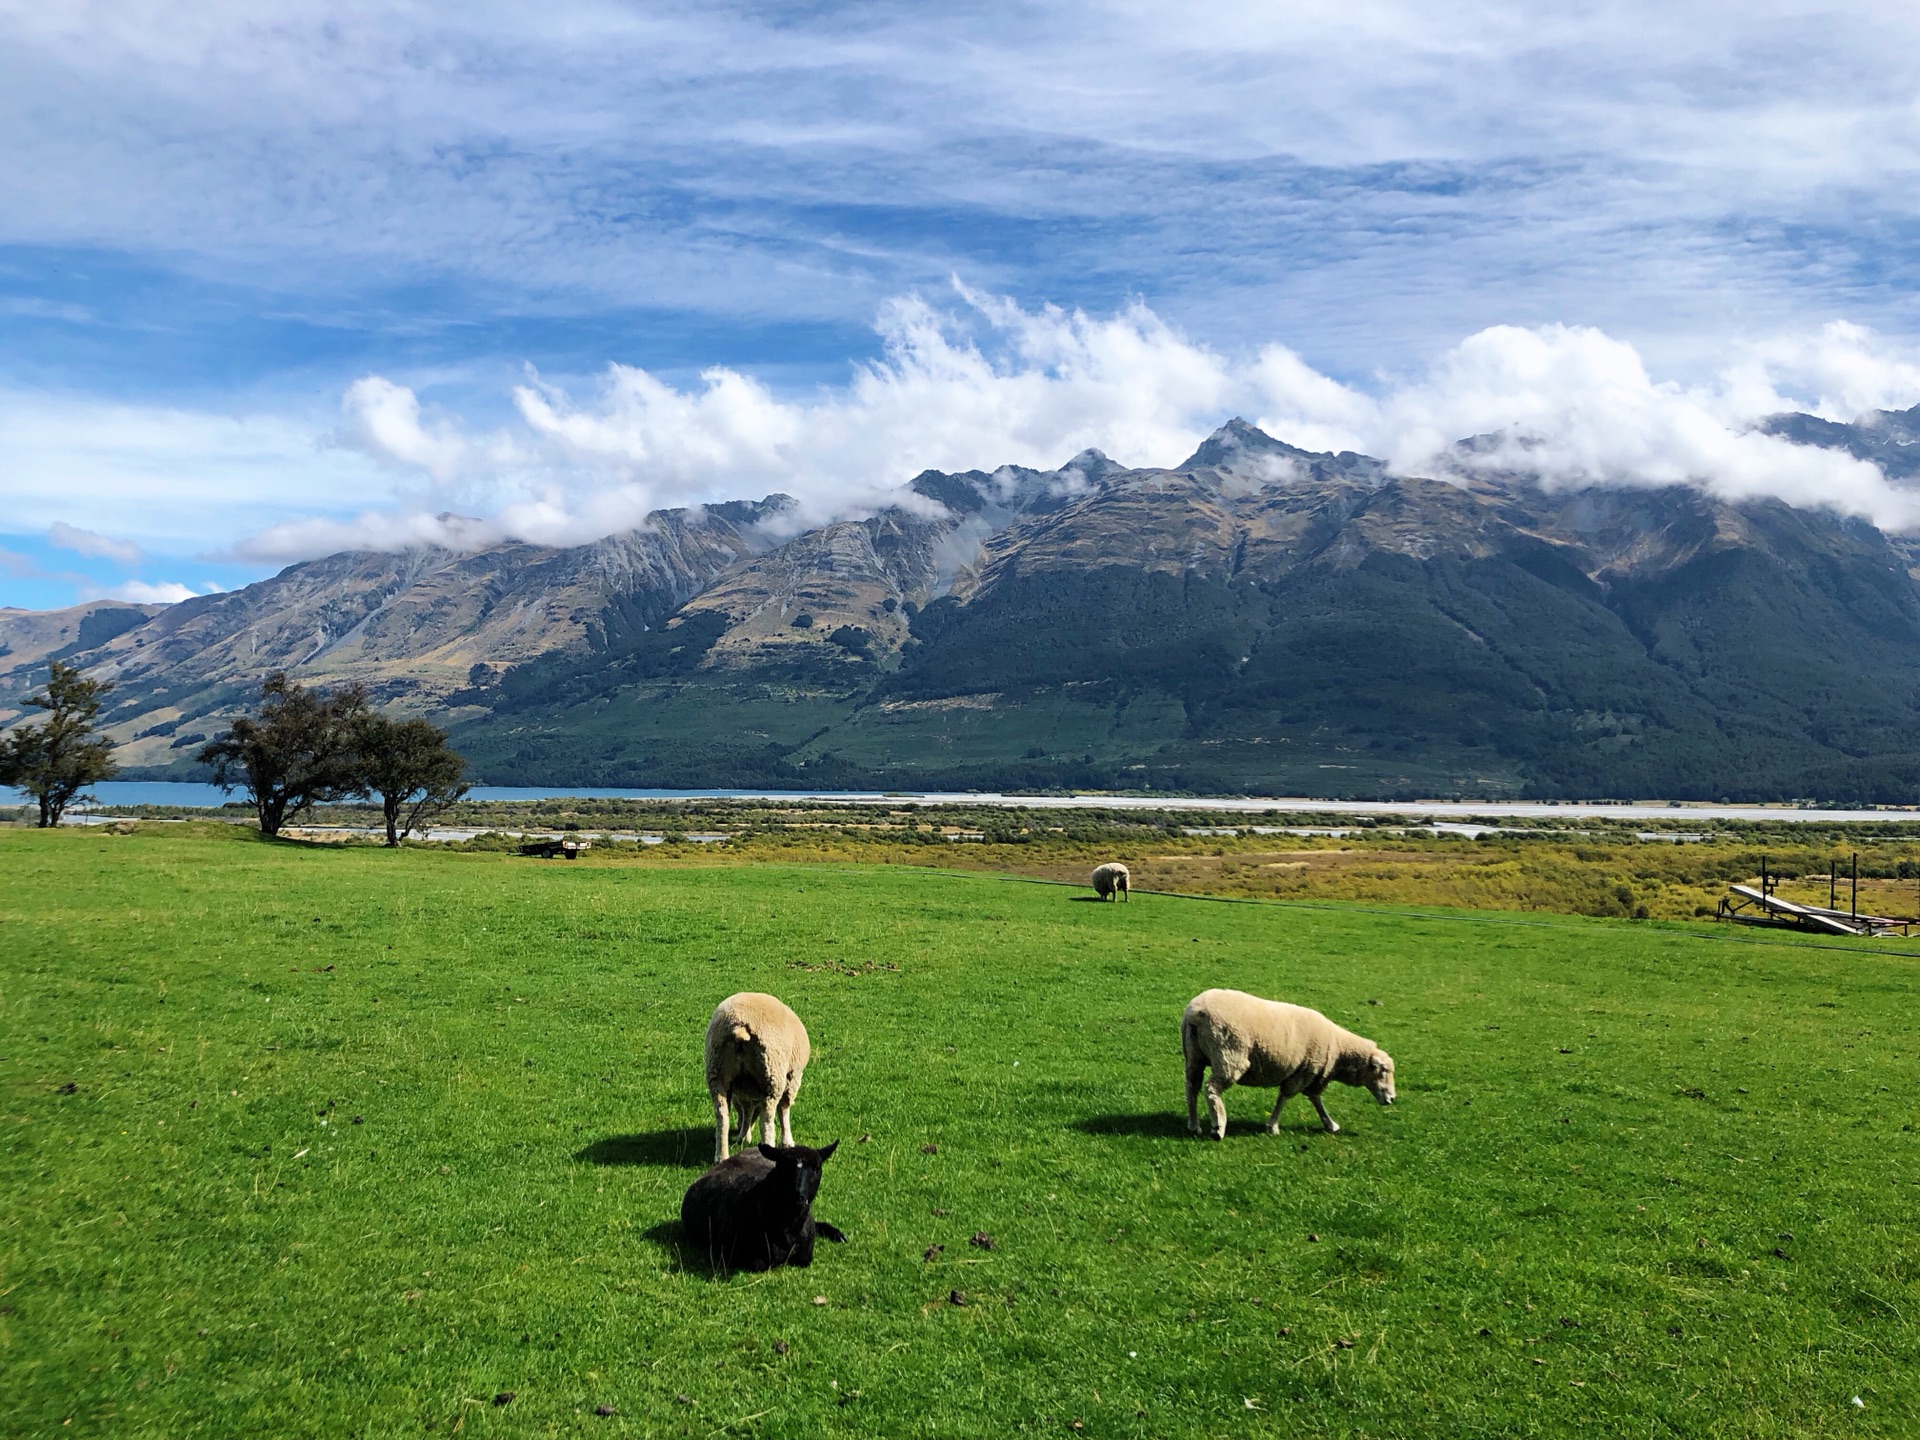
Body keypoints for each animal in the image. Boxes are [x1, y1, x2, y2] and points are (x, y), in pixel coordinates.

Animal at [683, 1136, 848, 1274]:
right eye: (783, 1166)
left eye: (816, 1167)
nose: (798, 1197)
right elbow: (760, 1264)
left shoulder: (805, 1252)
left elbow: (804, 1259)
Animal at [706, 998, 810, 1167]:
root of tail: (739, 1026)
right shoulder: (792, 1077)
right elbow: (784, 1110)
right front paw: (787, 1142)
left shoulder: (743, 1093)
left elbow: (747, 1112)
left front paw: (743, 1136)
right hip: (772, 1076)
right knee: (766, 1121)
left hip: (716, 1073)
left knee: (722, 1117)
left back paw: (721, 1157)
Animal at [1175, 990, 1390, 1144]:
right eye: (1384, 1071)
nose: (1391, 1099)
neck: (1339, 1050)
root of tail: (1195, 1012)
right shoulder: (1303, 1072)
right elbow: (1285, 1097)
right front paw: (1273, 1126)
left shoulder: (1310, 1074)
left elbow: (1315, 1099)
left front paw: (1330, 1124)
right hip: (1230, 1056)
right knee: (1211, 1088)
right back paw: (1218, 1126)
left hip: (1194, 1056)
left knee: (1192, 1088)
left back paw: (1194, 1125)